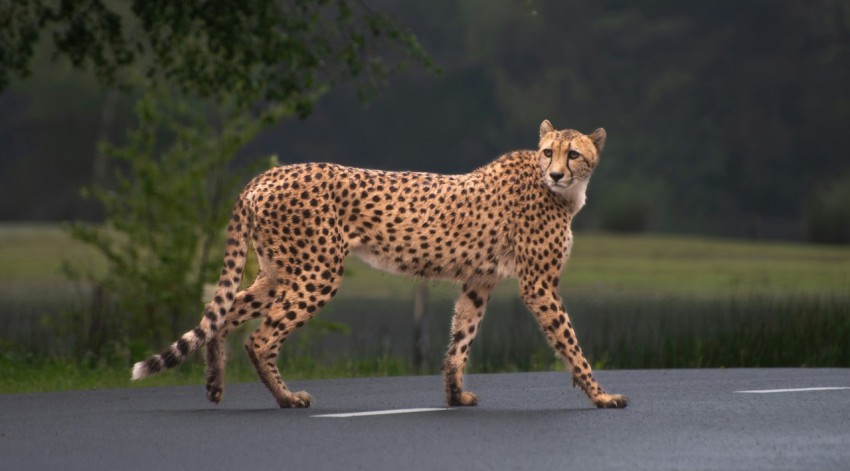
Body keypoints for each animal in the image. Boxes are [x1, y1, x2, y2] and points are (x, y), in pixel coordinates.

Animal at [131, 119, 628, 410]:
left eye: (574, 153)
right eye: (548, 152)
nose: (556, 173)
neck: (563, 192)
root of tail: (265, 175)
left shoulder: (478, 281)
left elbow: (460, 340)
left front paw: (454, 395)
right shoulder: (539, 285)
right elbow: (571, 343)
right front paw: (601, 395)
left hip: (278, 271)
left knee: (224, 311)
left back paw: (216, 384)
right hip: (317, 273)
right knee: (261, 336)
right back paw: (286, 398)